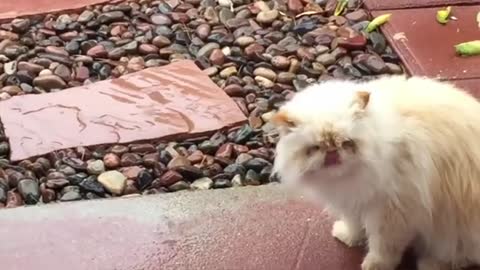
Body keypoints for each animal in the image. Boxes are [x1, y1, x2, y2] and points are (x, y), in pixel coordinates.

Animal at [272, 75, 480, 270]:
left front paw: (375, 264)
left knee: (460, 256)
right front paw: (348, 237)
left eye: (346, 143)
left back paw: (430, 263)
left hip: (452, 233)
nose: (332, 152)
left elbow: (383, 246)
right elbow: (353, 225)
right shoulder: (352, 201)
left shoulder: (392, 212)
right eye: (315, 148)